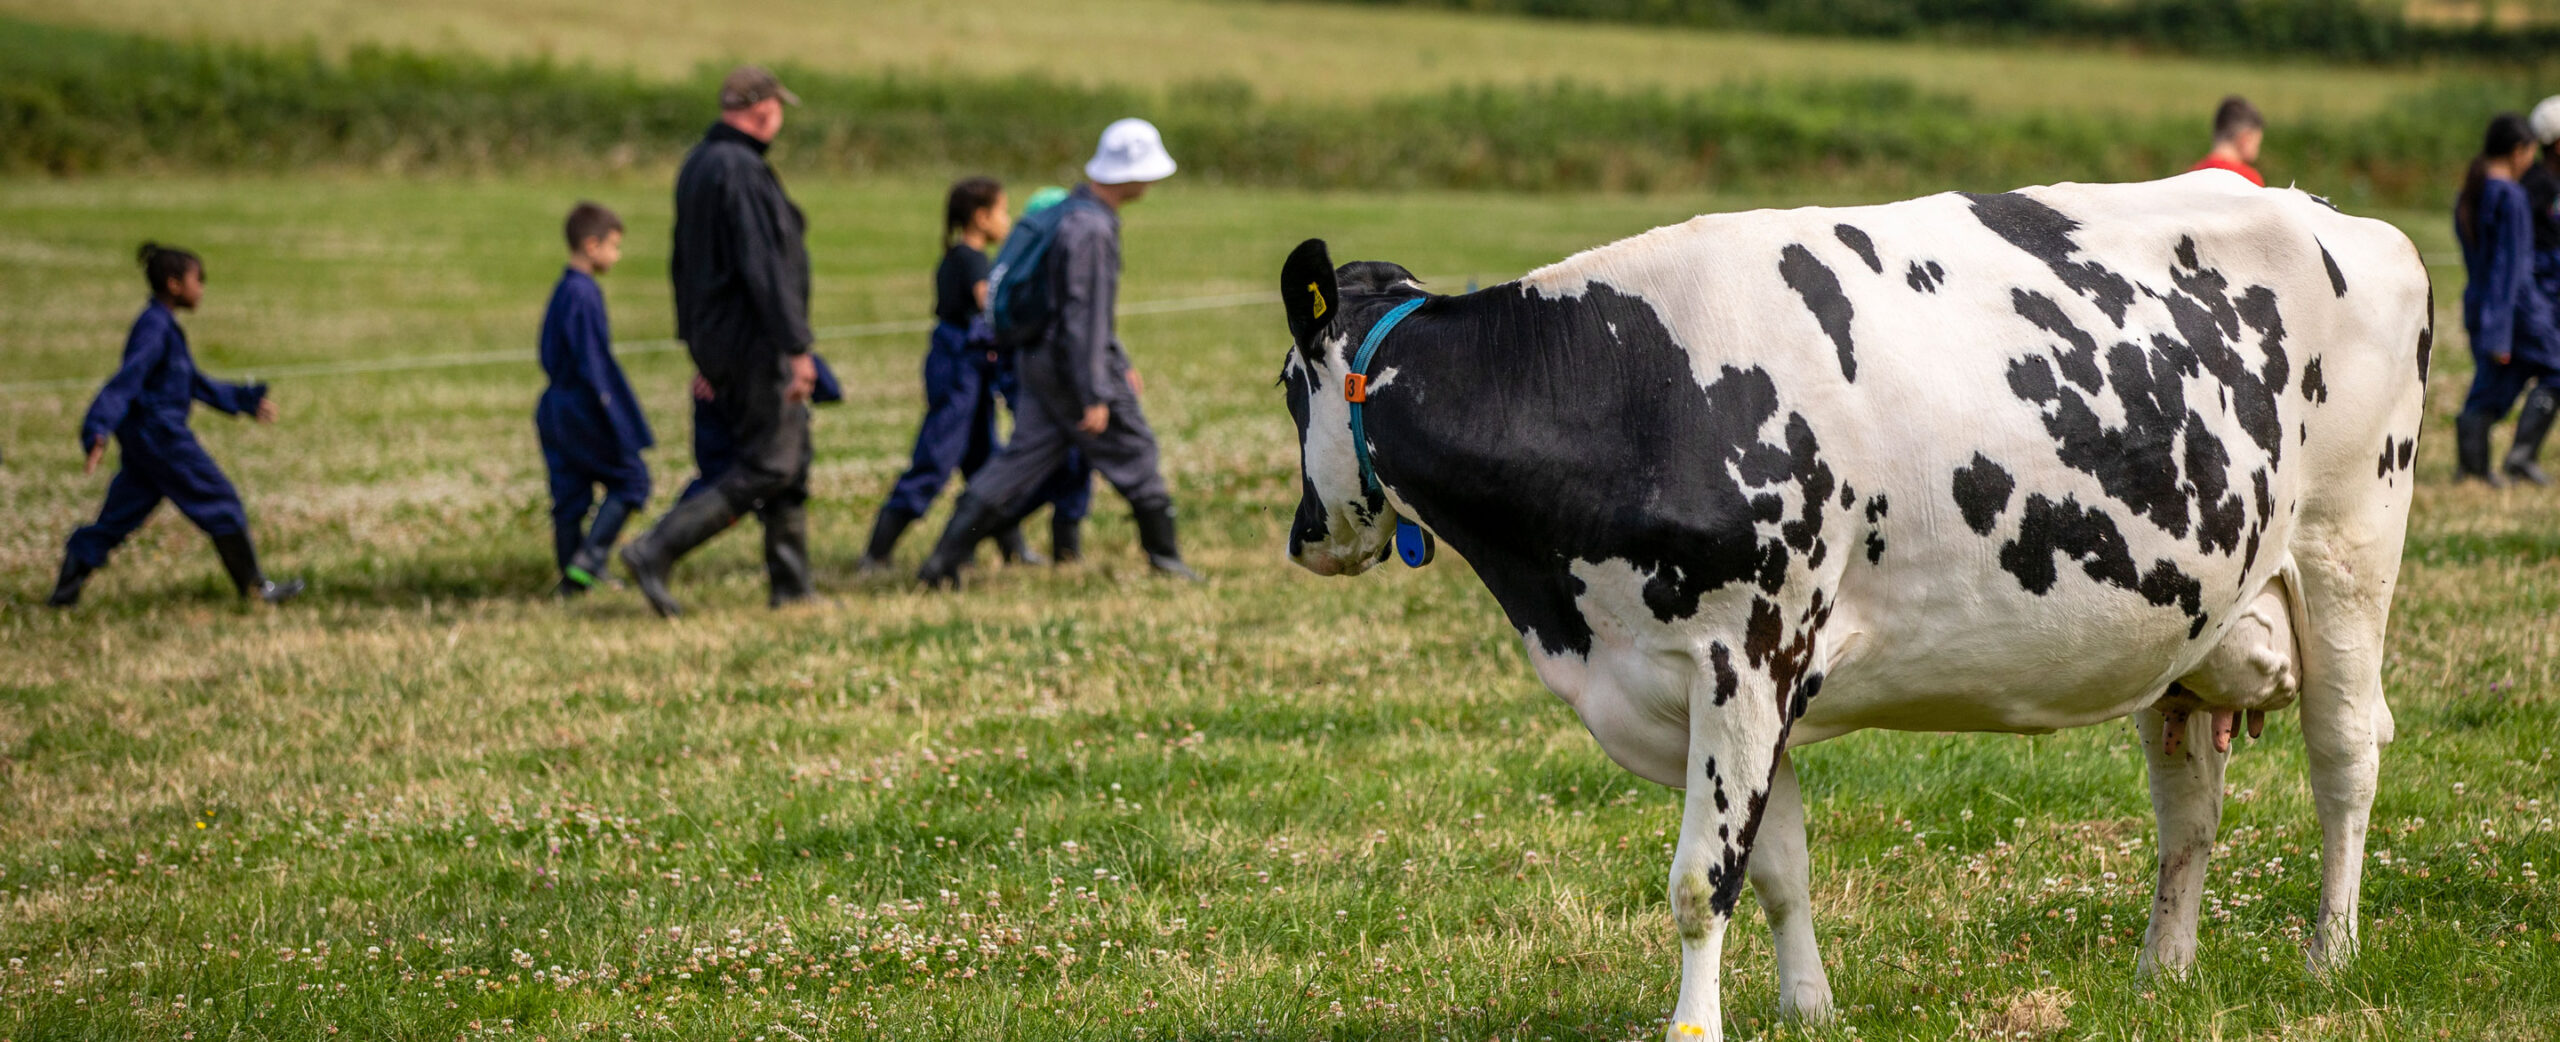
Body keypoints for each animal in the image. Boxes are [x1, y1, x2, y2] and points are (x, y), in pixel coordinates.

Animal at [1276, 170, 2427, 1041]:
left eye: (1288, 383)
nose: (1306, 538)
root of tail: (2340, 216)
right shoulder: (1732, 685)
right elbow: (1778, 868)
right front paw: (1810, 1010)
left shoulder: (1747, 651)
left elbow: (1703, 880)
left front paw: (1695, 1029)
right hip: (2190, 624)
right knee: (2189, 809)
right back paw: (2163, 972)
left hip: (2347, 554)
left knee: (2344, 756)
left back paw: (2330, 954)